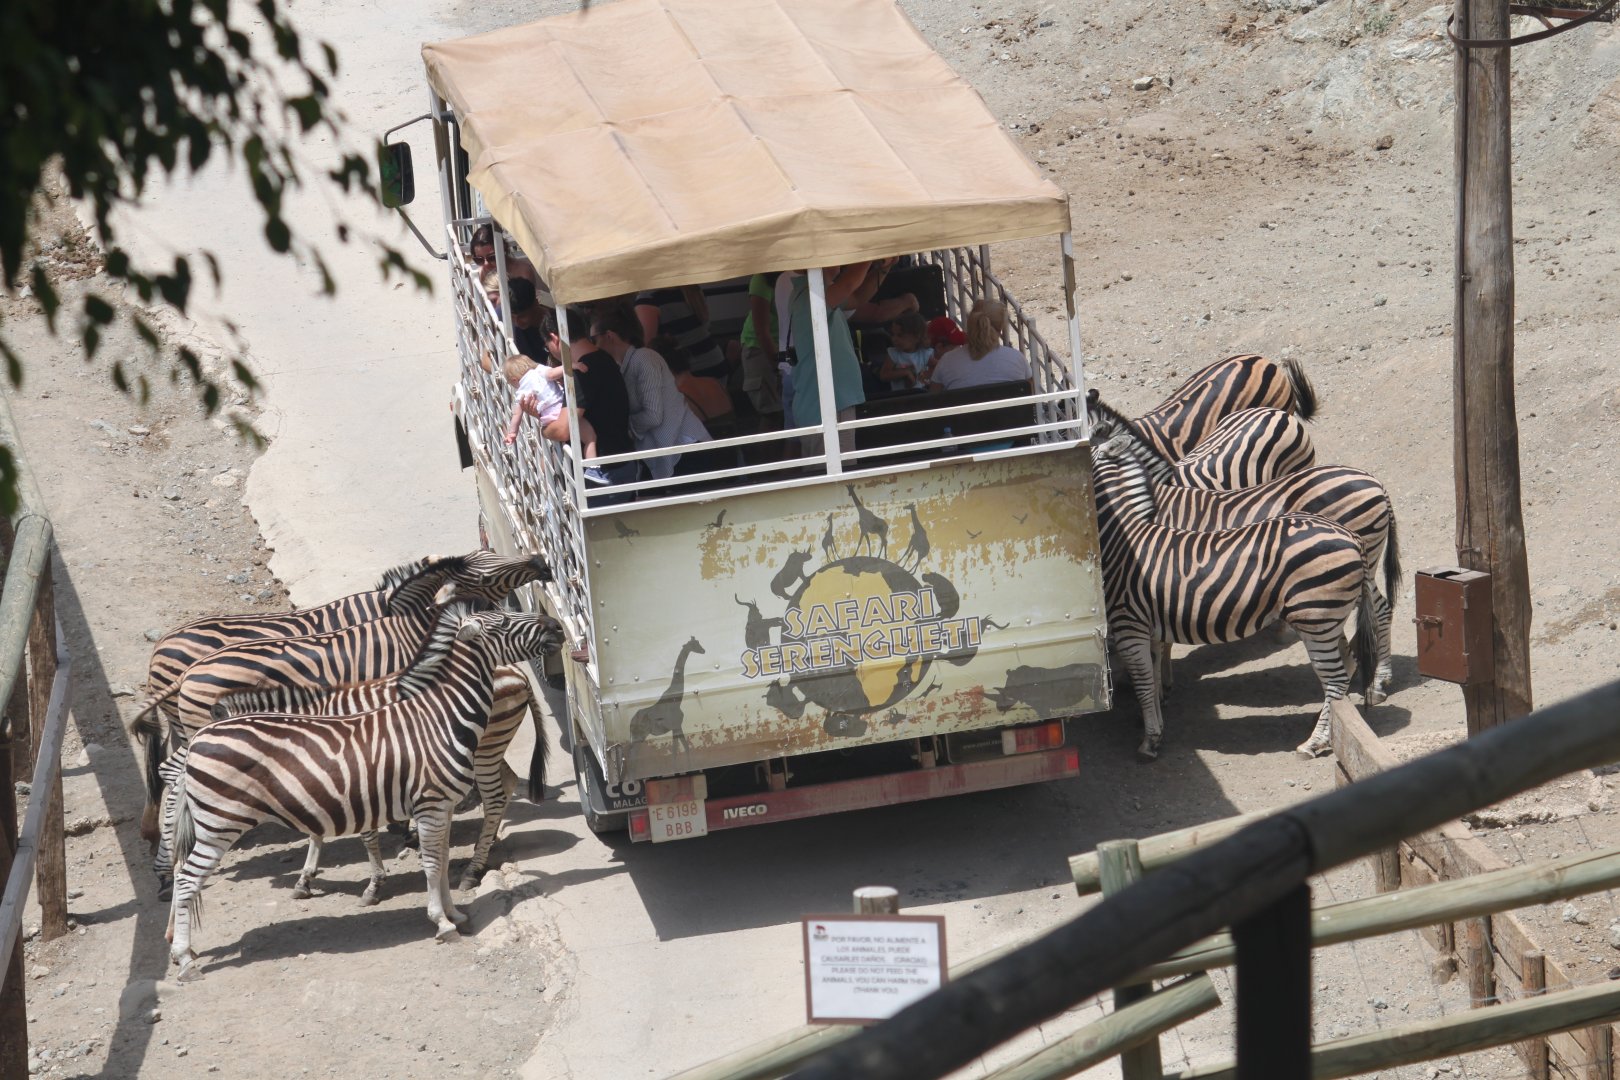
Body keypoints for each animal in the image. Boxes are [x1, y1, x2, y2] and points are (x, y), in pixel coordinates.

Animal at [212, 664, 544, 898]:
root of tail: (517, 673)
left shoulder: (352, 776)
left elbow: (364, 834)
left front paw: (374, 884)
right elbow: (316, 832)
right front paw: (305, 879)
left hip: (485, 749)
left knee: (495, 796)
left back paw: (473, 870)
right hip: (486, 749)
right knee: (508, 783)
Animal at [1090, 435, 1373, 761]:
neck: (1123, 539)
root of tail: (1350, 536)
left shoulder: (1129, 625)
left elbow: (1144, 683)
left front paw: (1150, 741)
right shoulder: (1150, 626)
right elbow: (1154, 673)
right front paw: (1157, 721)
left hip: (1316, 619)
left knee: (1335, 680)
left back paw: (1314, 743)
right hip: (1327, 618)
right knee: (1346, 665)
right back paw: (1330, 730)